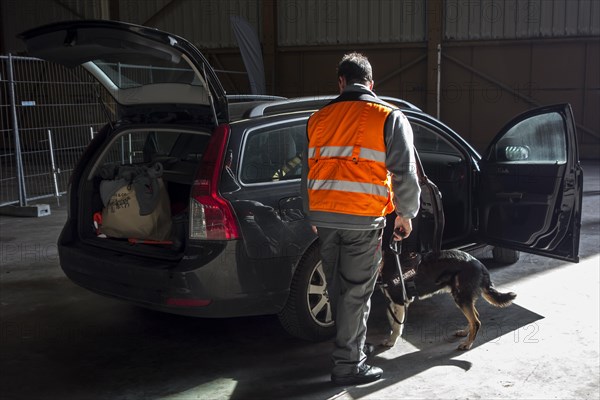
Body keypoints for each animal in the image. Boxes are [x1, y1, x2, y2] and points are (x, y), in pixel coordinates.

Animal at [382, 250, 516, 350]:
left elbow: (397, 325)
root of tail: (480, 264)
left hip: (460, 297)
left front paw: (392, 339)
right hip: (463, 298)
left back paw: (467, 344)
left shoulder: (400, 301)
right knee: (474, 317)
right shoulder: (395, 302)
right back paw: (465, 333)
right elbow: (391, 316)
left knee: (476, 322)